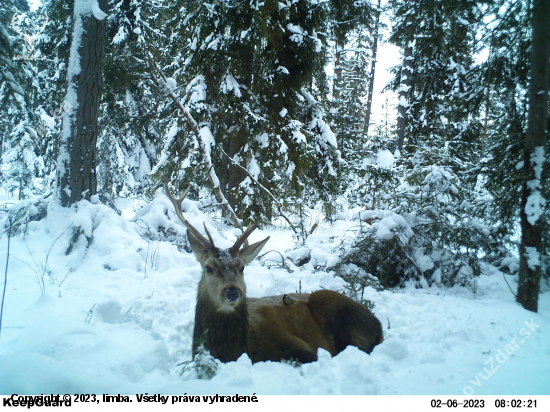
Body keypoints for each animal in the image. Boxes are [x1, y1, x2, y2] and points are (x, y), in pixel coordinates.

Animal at [166, 184, 386, 364]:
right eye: (208, 267)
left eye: (242, 267)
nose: (232, 291)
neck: (238, 350)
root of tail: (380, 327)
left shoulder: (300, 347)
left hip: (326, 299)